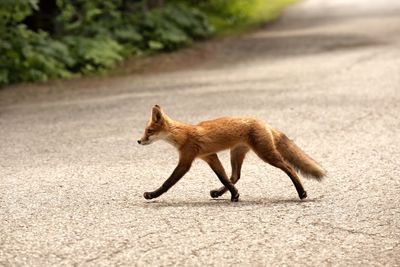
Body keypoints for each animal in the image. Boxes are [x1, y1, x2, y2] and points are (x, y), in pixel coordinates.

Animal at [138, 105, 324, 202]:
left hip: (265, 154)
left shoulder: (186, 161)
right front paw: (235, 194)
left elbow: (167, 183)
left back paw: (301, 192)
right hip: (236, 154)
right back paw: (220, 193)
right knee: (235, 176)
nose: (139, 141)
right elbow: (224, 178)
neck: (183, 134)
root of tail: (264, 122)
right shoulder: (210, 157)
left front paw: (152, 195)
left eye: (149, 131)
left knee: (290, 168)